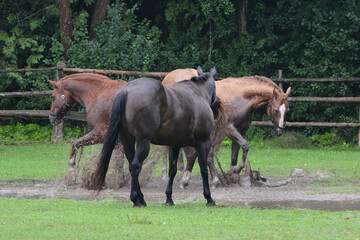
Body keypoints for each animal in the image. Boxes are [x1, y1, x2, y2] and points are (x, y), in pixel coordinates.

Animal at [92, 66, 222, 207]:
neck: (198, 93)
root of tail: (125, 91)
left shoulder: (174, 145)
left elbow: (173, 170)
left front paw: (169, 198)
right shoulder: (204, 143)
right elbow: (204, 169)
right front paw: (209, 198)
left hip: (128, 140)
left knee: (131, 166)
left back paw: (141, 199)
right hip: (143, 142)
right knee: (136, 166)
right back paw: (135, 199)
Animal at [162, 68, 292, 188]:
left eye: (287, 110)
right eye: (275, 110)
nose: (279, 131)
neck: (241, 97)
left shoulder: (241, 130)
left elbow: (235, 154)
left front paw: (233, 172)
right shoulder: (229, 129)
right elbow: (245, 145)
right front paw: (233, 172)